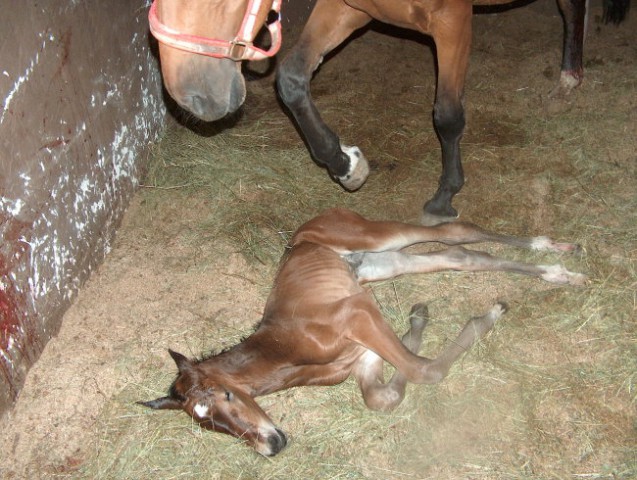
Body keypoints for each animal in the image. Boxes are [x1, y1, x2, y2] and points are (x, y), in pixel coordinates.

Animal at [140, 208, 588, 456]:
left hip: (376, 237)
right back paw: (555, 269)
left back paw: (556, 256)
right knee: (462, 256)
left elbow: (424, 369)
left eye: (228, 395)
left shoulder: (357, 314)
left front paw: (482, 319)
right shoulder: (364, 351)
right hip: (382, 263)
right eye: (208, 424)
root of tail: (317, 219)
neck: (284, 350)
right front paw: (419, 319)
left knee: (456, 232)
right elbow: (383, 395)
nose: (272, 445)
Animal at [150, 0, 632, 225]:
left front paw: (444, 196)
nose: (193, 98)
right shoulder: (347, 8)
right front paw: (345, 165)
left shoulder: (452, 22)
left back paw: (569, 77)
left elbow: (447, 116)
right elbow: (291, 80)